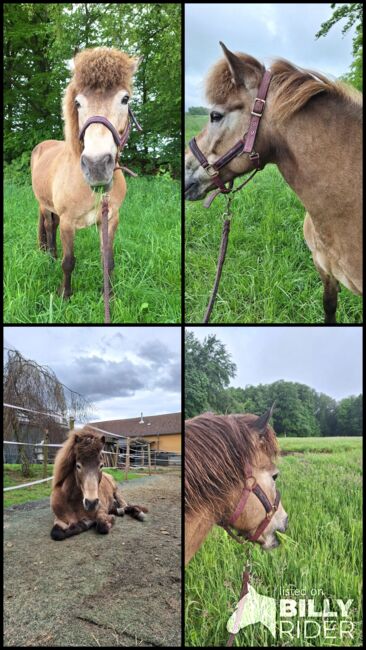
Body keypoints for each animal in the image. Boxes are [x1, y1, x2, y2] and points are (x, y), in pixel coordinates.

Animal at [31, 46, 140, 298]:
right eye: (78, 103)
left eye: (125, 99)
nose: (97, 165)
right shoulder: (68, 222)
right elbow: (68, 261)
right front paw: (65, 295)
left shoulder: (110, 219)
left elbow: (108, 260)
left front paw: (108, 294)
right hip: (44, 205)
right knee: (49, 226)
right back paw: (50, 257)